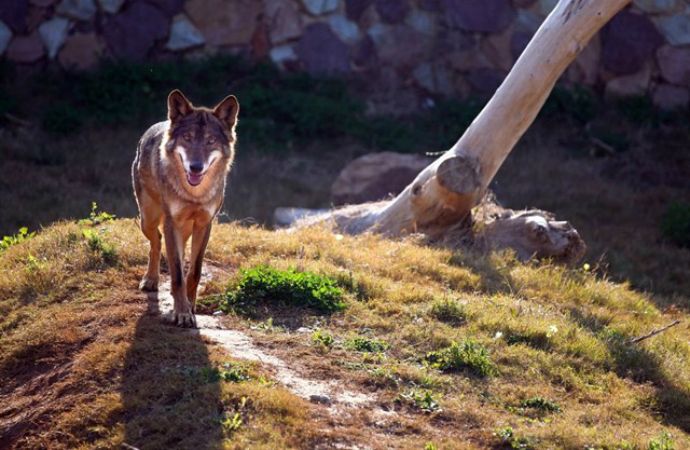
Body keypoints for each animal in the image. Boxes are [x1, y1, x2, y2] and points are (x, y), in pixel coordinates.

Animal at [132, 89, 239, 327]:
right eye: (187, 138)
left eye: (210, 141)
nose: (196, 167)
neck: (194, 195)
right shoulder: (172, 223)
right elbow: (178, 274)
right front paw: (182, 312)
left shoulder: (204, 224)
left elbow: (194, 271)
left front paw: (191, 306)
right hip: (148, 220)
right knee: (157, 241)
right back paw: (150, 280)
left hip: (185, 229)